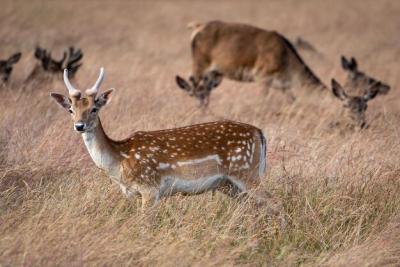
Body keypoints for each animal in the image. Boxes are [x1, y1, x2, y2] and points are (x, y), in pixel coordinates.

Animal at [176, 20, 324, 107]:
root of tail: (197, 26)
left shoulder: (283, 86)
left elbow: (292, 100)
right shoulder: (262, 75)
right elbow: (263, 99)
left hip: (213, 72)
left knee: (206, 88)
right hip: (200, 64)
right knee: (195, 87)